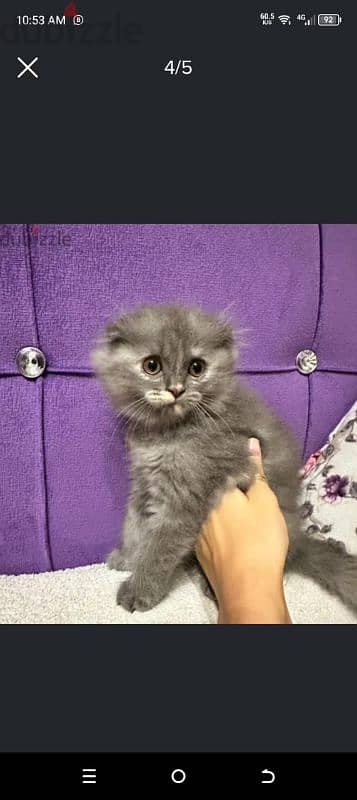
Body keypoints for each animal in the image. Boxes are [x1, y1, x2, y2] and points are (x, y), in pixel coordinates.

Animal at [91, 304, 356, 612]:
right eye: (152, 365)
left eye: (196, 368)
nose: (176, 389)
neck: (167, 433)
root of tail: (299, 540)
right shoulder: (144, 483)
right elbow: (134, 526)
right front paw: (127, 557)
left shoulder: (186, 498)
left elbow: (160, 547)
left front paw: (139, 589)